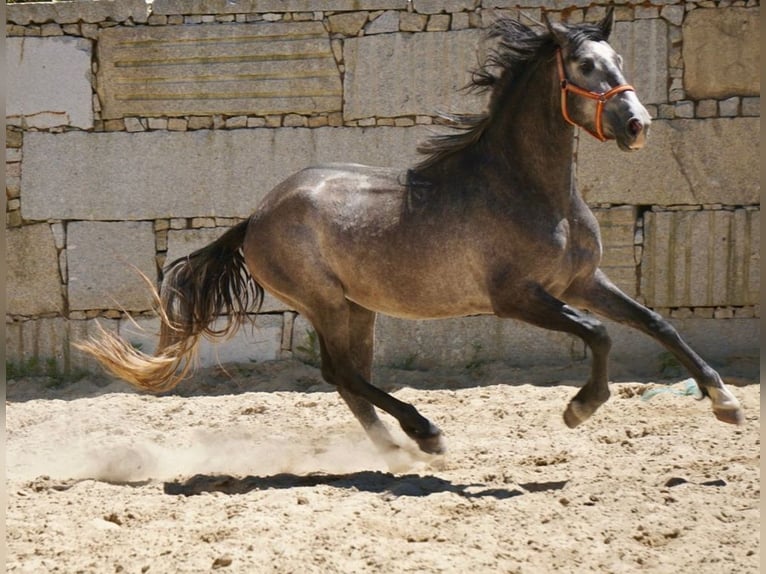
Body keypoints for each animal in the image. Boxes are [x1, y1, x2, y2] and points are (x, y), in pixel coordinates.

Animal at [78, 9, 744, 460]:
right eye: (585, 66)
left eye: (622, 63)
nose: (638, 125)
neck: (528, 189)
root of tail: (256, 216)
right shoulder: (517, 298)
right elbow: (600, 335)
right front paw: (579, 409)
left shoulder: (581, 280)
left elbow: (657, 323)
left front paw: (725, 402)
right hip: (324, 303)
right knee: (343, 375)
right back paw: (424, 435)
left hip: (357, 307)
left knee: (345, 379)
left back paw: (396, 448)